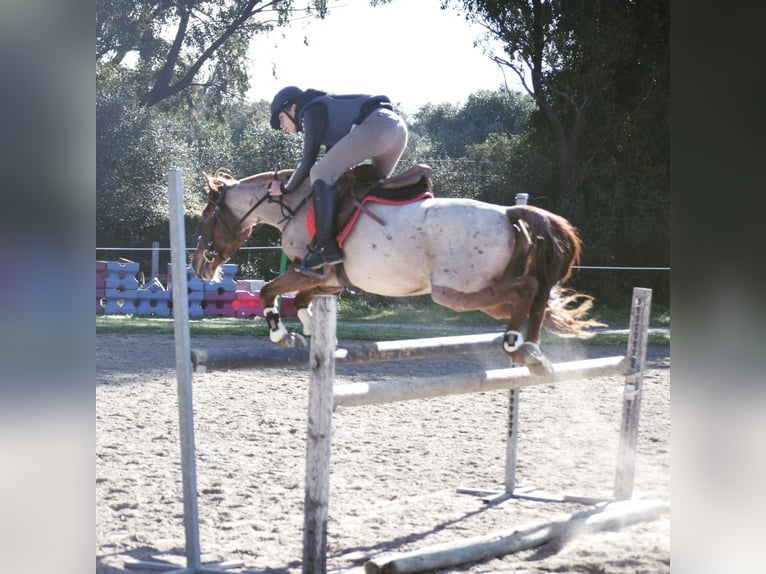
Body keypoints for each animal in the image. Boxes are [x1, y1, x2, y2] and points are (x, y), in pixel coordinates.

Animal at [189, 165, 604, 378]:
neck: (297, 204)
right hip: (478, 295)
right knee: (536, 296)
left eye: (207, 216)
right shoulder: (328, 281)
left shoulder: (310, 271)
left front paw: (282, 335)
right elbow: (301, 299)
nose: (199, 265)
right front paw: (308, 331)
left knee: (528, 289)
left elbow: (267, 292)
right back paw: (533, 353)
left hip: (455, 292)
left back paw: (519, 346)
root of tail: (508, 213)